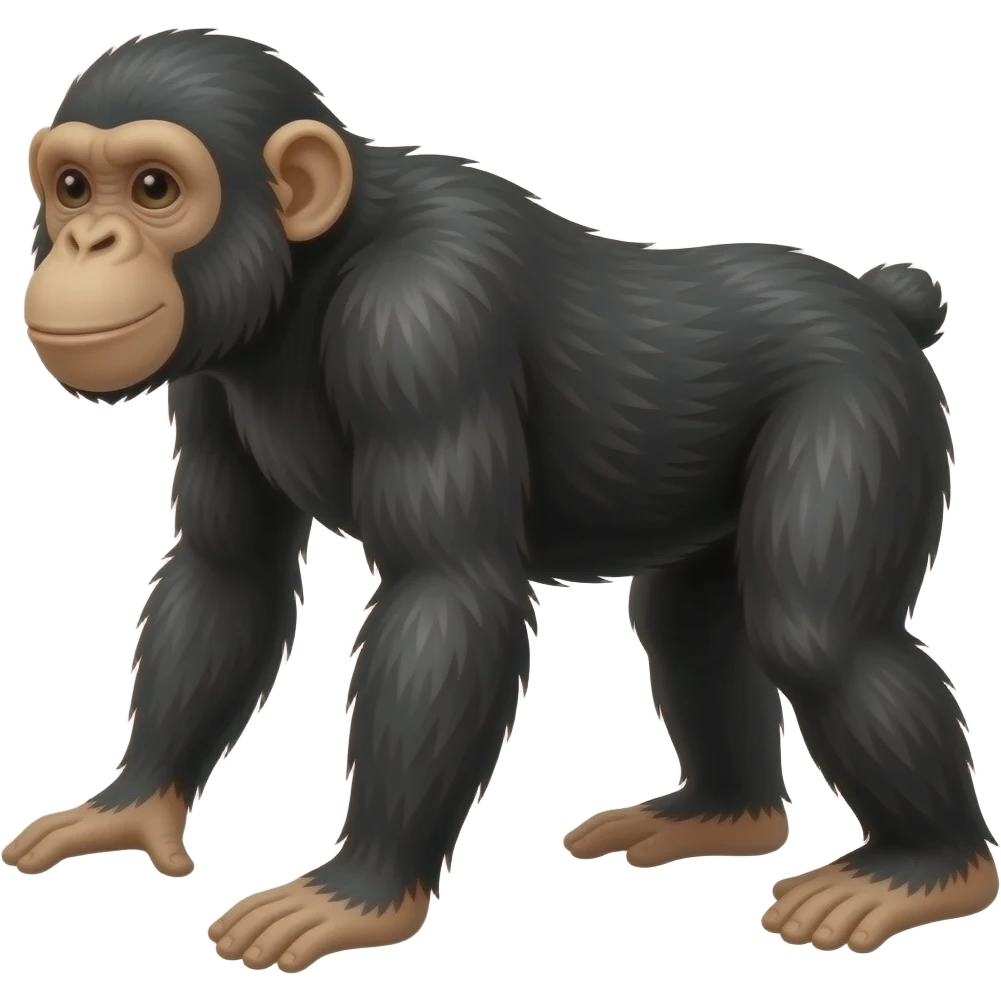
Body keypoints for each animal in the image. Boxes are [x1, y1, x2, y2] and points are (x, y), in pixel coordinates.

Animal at [5, 27, 995, 971]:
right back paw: (722, 814)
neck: (311, 270)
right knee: (689, 616)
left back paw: (926, 868)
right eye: (71, 186)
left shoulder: (419, 324)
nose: (89, 241)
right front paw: (127, 807)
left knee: (816, 634)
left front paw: (356, 893)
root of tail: (880, 300)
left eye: (153, 187)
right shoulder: (209, 384)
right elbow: (225, 570)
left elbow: (446, 591)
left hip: (859, 409)